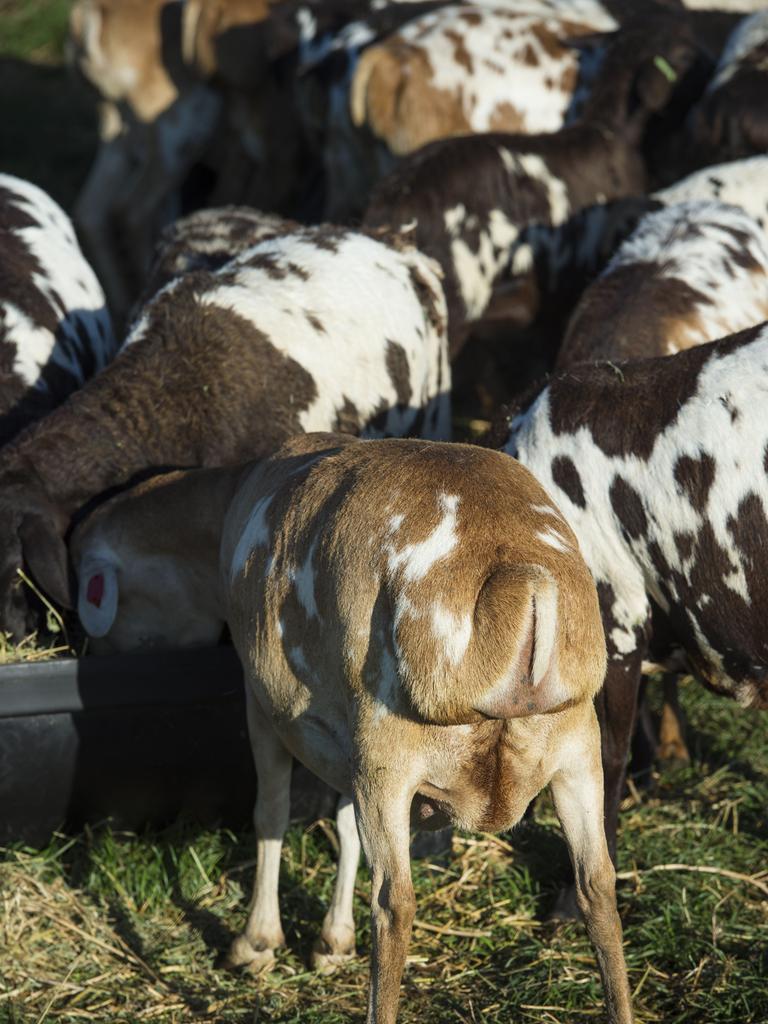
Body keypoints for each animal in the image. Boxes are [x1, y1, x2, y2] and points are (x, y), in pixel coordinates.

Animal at [72, 434, 634, 1024]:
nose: (95, 655)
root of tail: (520, 580)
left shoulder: (264, 705)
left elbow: (270, 813)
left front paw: (257, 942)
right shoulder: (345, 739)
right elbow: (343, 826)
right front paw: (331, 941)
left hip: (391, 750)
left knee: (394, 901)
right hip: (574, 748)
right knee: (598, 885)